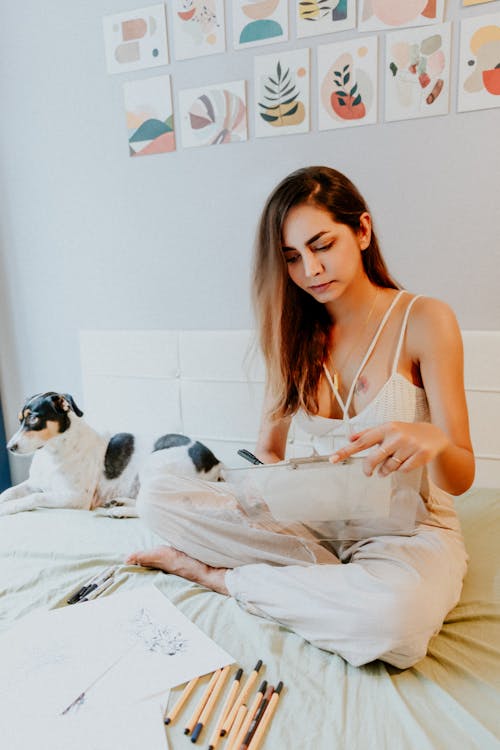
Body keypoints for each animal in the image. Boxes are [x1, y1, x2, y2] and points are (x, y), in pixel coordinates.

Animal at [0, 394, 223, 516]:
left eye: (34, 419)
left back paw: (120, 511)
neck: (52, 452)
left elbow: (35, 498)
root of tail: (215, 462)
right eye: (20, 419)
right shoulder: (33, 483)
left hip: (153, 465)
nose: (9, 447)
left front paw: (9, 508)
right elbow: (8, 492)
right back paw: (118, 502)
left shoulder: (76, 498)